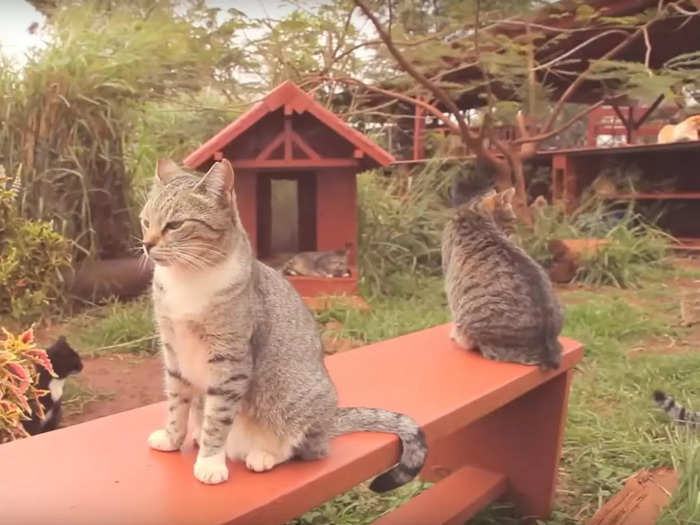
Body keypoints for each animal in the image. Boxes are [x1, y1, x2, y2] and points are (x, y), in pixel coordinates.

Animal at [141, 159, 426, 488]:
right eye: (145, 222)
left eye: (175, 225)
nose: (146, 245)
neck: (187, 278)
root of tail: (331, 419)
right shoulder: (173, 353)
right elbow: (176, 405)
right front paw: (172, 439)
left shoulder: (230, 360)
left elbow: (218, 418)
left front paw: (210, 462)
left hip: (297, 407)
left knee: (307, 451)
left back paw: (263, 455)